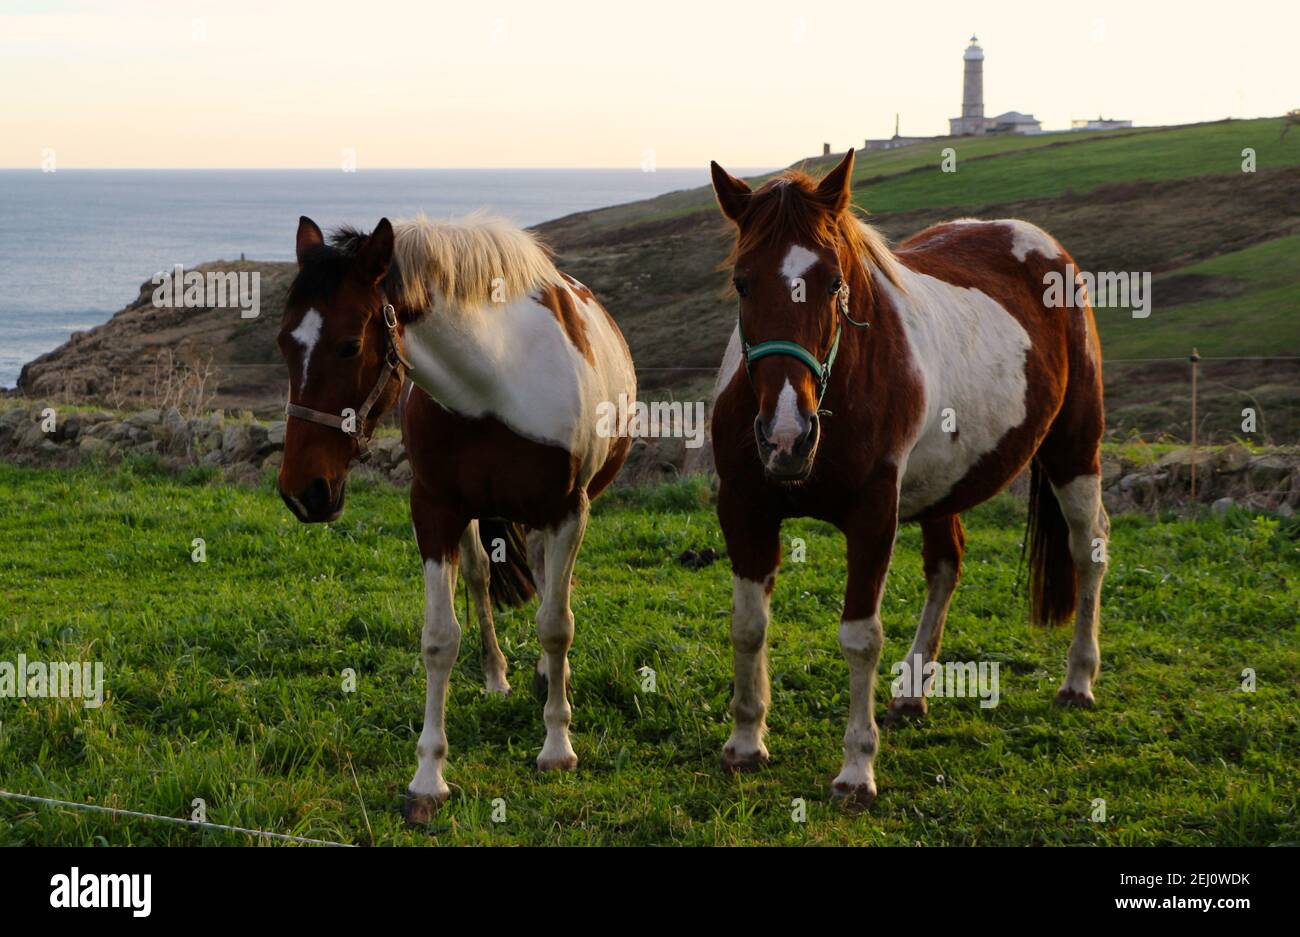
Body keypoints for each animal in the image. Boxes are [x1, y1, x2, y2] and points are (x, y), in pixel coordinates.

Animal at [278, 210, 634, 821]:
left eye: (349, 346)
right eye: (284, 342)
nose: (304, 492)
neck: (497, 385)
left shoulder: (567, 509)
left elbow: (556, 625)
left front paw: (557, 746)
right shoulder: (435, 510)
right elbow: (441, 638)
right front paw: (428, 778)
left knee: (549, 587)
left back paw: (549, 680)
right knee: (483, 577)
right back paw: (498, 675)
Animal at [712, 151, 1107, 805]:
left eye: (833, 282)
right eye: (743, 282)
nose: (787, 436)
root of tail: (1042, 245)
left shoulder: (873, 517)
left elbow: (860, 637)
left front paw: (856, 769)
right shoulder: (745, 510)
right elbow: (747, 626)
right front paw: (746, 742)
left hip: (1075, 451)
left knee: (1088, 549)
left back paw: (1078, 680)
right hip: (946, 484)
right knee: (946, 566)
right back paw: (913, 693)